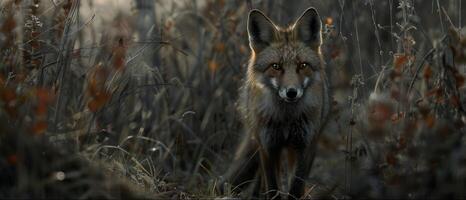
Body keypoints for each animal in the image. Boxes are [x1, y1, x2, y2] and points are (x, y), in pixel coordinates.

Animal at [222, 7, 332, 199]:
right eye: (276, 67)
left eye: (303, 65)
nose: (291, 92)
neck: (286, 119)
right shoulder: (268, 146)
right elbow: (272, 185)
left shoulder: (304, 146)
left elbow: (296, 187)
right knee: (261, 178)